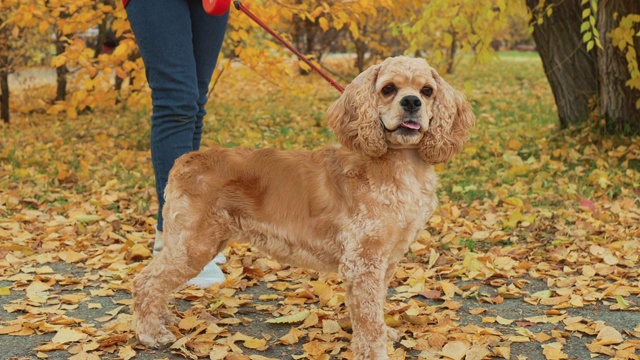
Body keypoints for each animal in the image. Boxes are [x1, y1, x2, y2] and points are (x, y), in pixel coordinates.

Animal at [132, 54, 472, 358]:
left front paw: (382, 331)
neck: (399, 163)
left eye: (427, 90)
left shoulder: (384, 259)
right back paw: (150, 332)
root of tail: (185, 160)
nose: (412, 103)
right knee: (145, 281)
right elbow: (369, 318)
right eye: (388, 89)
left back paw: (162, 318)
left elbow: (373, 309)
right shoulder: (363, 261)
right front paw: (376, 350)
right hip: (193, 244)